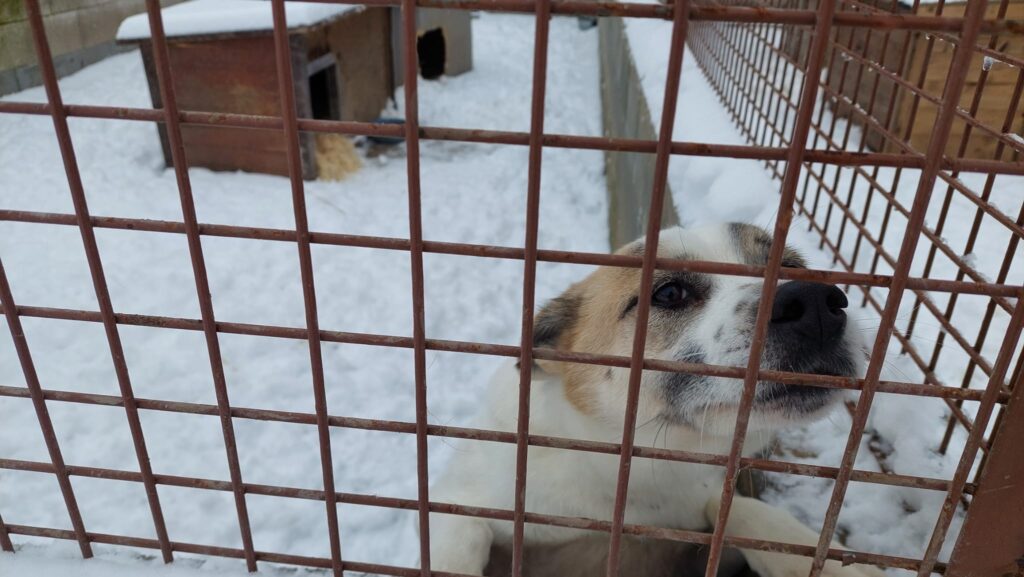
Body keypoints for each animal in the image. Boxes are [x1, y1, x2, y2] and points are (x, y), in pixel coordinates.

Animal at [426, 224, 884, 577]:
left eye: (792, 266)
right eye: (669, 293)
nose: (816, 303)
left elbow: (746, 512)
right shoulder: (466, 500)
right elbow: (461, 538)